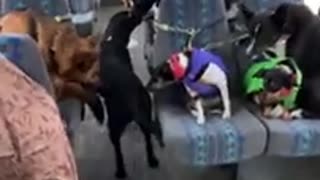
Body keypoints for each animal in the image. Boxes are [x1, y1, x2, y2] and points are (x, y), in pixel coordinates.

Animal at [99, 9, 164, 179]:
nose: (140, 14)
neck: (112, 38)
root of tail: (131, 99)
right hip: (145, 112)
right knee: (148, 139)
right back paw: (152, 160)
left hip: (113, 126)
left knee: (118, 151)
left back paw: (120, 171)